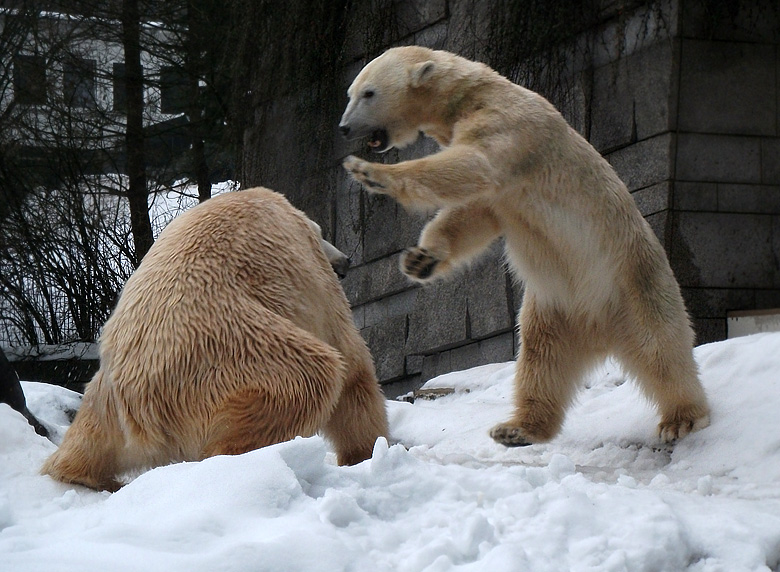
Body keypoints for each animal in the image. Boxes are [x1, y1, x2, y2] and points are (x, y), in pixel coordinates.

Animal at [41, 188, 388, 492]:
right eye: (324, 236)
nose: (345, 261)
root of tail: (139, 401)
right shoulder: (315, 278)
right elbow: (352, 361)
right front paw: (365, 453)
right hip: (233, 350)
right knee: (309, 377)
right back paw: (232, 463)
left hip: (105, 397)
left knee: (87, 441)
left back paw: (84, 476)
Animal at [338, 45, 708, 446]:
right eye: (351, 93)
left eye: (369, 93)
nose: (344, 128)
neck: (473, 95)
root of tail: (600, 330)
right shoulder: (501, 180)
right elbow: (474, 213)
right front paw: (421, 260)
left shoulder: (510, 128)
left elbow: (472, 165)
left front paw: (371, 173)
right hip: (554, 306)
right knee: (540, 358)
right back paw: (517, 428)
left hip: (633, 281)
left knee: (661, 347)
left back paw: (682, 418)